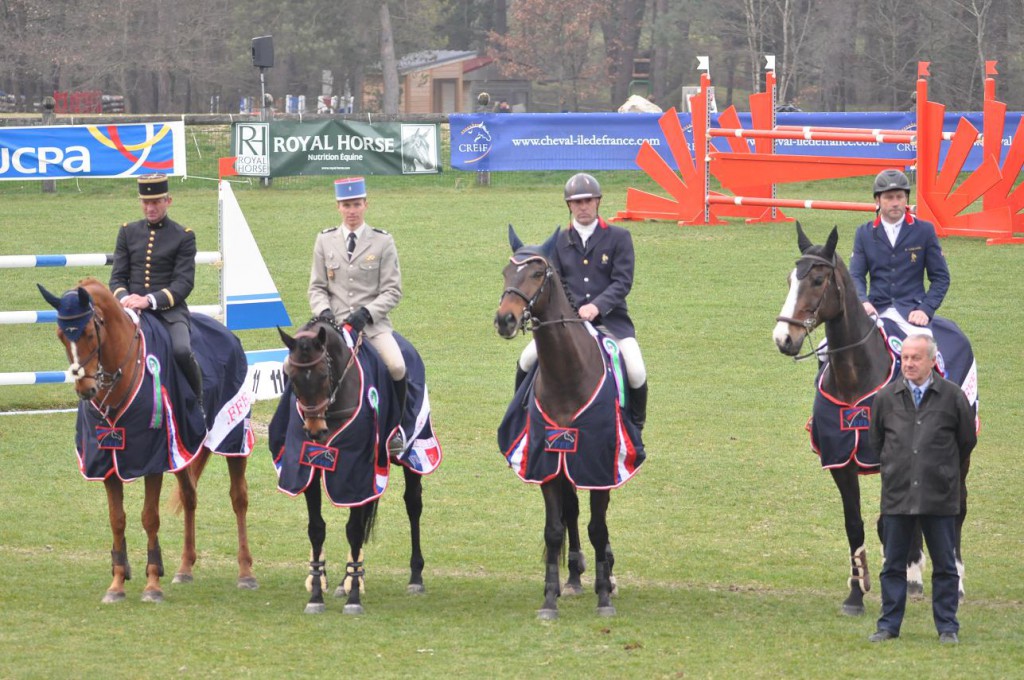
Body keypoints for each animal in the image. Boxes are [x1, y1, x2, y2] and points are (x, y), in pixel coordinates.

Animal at [40, 278, 258, 606]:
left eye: (89, 333)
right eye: (61, 335)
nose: (86, 389)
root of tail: (228, 334)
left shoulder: (153, 459)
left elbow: (149, 518)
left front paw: (153, 584)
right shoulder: (108, 462)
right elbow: (117, 519)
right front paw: (117, 583)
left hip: (232, 437)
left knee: (239, 498)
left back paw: (245, 572)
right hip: (183, 450)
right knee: (190, 497)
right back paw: (185, 568)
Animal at [270, 321, 438, 614]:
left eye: (323, 374)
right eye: (290, 374)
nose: (316, 431)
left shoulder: (356, 470)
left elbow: (354, 530)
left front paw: (354, 598)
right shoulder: (309, 470)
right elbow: (317, 529)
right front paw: (317, 595)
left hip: (414, 452)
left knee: (413, 505)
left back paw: (415, 577)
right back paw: (344, 581)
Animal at [493, 225, 643, 618]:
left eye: (536, 273)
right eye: (506, 272)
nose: (505, 320)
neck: (567, 375)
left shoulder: (601, 462)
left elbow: (598, 527)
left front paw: (605, 596)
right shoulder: (548, 461)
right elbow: (555, 529)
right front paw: (549, 598)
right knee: (571, 512)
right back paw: (573, 577)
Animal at [770, 224, 970, 614]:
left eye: (817, 279)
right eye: (789, 279)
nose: (784, 338)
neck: (855, 378)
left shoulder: (888, 457)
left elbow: (887, 522)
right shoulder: (840, 460)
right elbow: (856, 524)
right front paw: (856, 592)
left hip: (961, 454)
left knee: (957, 509)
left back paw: (952, 579)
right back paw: (914, 575)